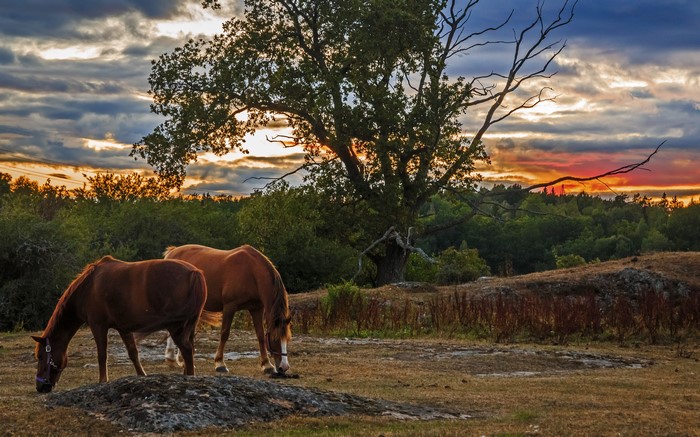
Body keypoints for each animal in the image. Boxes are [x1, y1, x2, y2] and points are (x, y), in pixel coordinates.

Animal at [31, 256, 215, 393]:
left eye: (40, 356)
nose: (40, 387)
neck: (88, 286)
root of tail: (194, 273)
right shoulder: (123, 328)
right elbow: (133, 353)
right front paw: (142, 375)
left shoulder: (98, 326)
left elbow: (102, 355)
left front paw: (102, 381)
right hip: (189, 326)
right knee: (189, 349)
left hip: (176, 327)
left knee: (187, 349)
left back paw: (189, 378)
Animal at [163, 244, 292, 374]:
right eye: (275, 339)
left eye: (288, 339)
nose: (284, 367)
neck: (251, 272)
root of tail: (172, 251)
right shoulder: (230, 307)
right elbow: (225, 333)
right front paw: (220, 363)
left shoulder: (257, 309)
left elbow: (260, 335)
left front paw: (267, 365)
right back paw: (171, 358)